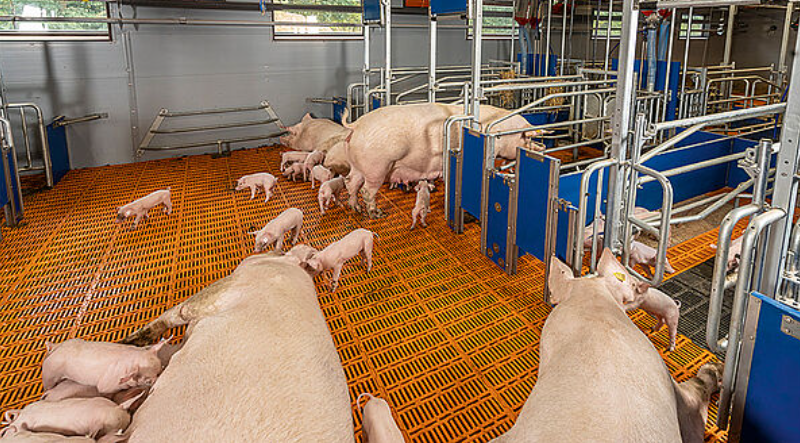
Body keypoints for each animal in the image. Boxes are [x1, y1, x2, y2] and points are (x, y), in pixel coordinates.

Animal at [344, 103, 545, 218]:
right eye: (525, 137)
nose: (541, 148)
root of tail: (356, 125)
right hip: (377, 167)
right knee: (366, 191)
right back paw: (376, 214)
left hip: (357, 166)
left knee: (351, 182)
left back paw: (355, 208)